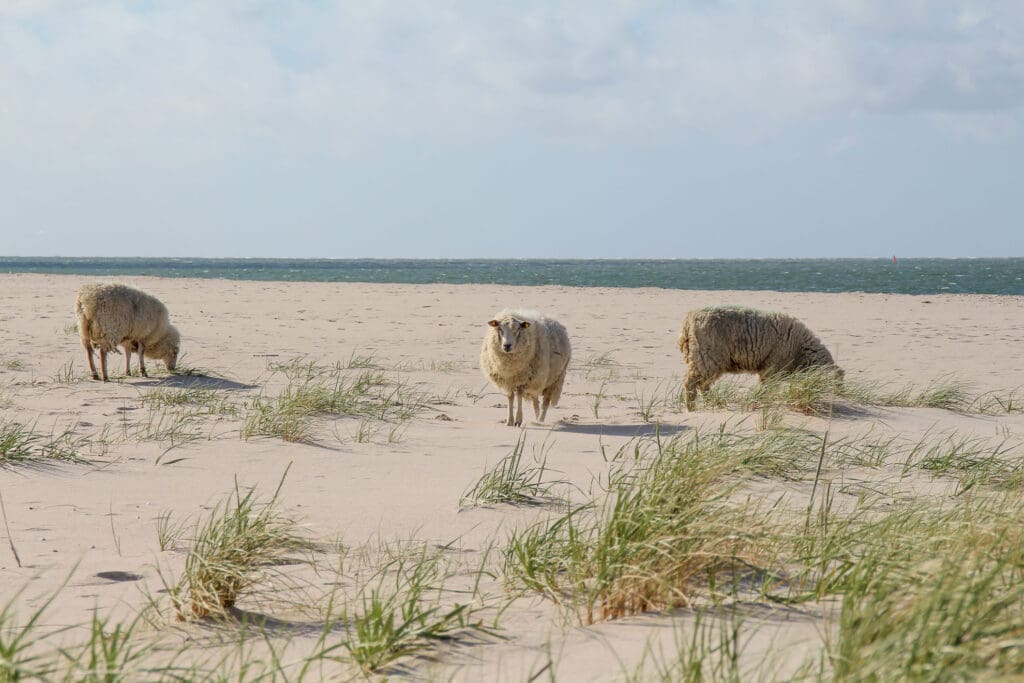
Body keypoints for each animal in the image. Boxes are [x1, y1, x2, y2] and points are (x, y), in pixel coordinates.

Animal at [678, 305, 842, 411]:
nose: (839, 397)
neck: (800, 349)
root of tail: (689, 319)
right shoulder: (772, 368)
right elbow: (766, 388)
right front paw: (760, 401)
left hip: (710, 361)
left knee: (703, 385)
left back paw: (711, 402)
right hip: (707, 357)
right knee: (691, 383)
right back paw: (691, 408)